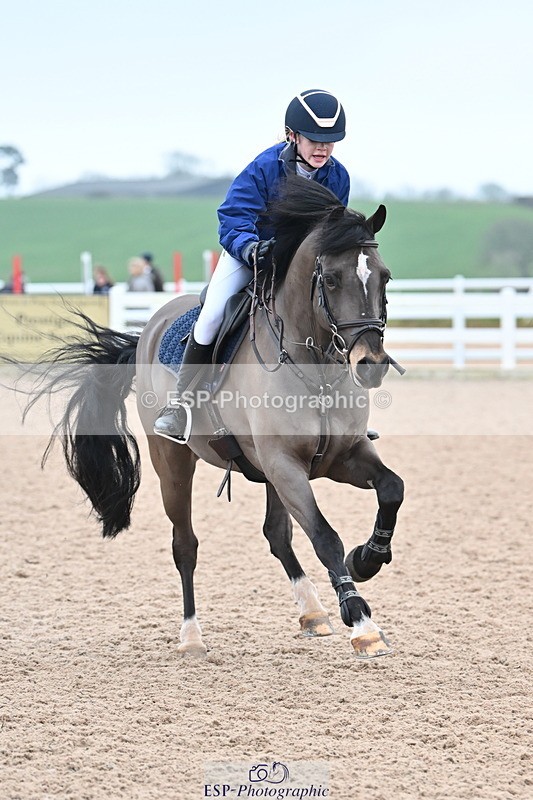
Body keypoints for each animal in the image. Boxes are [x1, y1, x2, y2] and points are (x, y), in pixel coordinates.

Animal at [22, 175, 404, 660]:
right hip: (174, 462)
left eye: (384, 276)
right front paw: (361, 621)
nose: (370, 364)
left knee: (276, 534)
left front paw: (368, 558)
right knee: (185, 545)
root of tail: (148, 330)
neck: (313, 367)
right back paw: (191, 637)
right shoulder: (285, 465)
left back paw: (312, 611)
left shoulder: (341, 457)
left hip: (266, 473)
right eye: (332, 280)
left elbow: (391, 489)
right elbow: (324, 536)